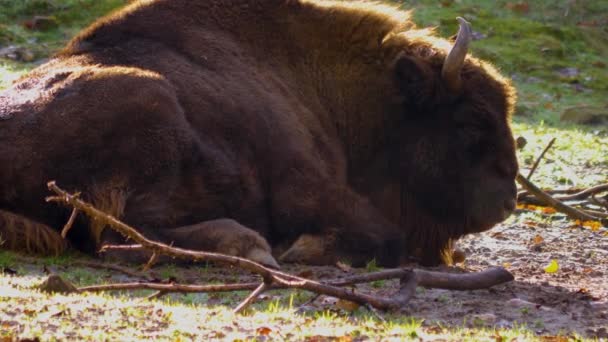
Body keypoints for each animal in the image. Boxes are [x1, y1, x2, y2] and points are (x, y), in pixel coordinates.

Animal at [0, 0, 516, 268]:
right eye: (472, 120)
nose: (509, 196)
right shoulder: (306, 188)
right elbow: (386, 237)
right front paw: (302, 247)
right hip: (152, 101)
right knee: (116, 234)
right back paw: (250, 245)